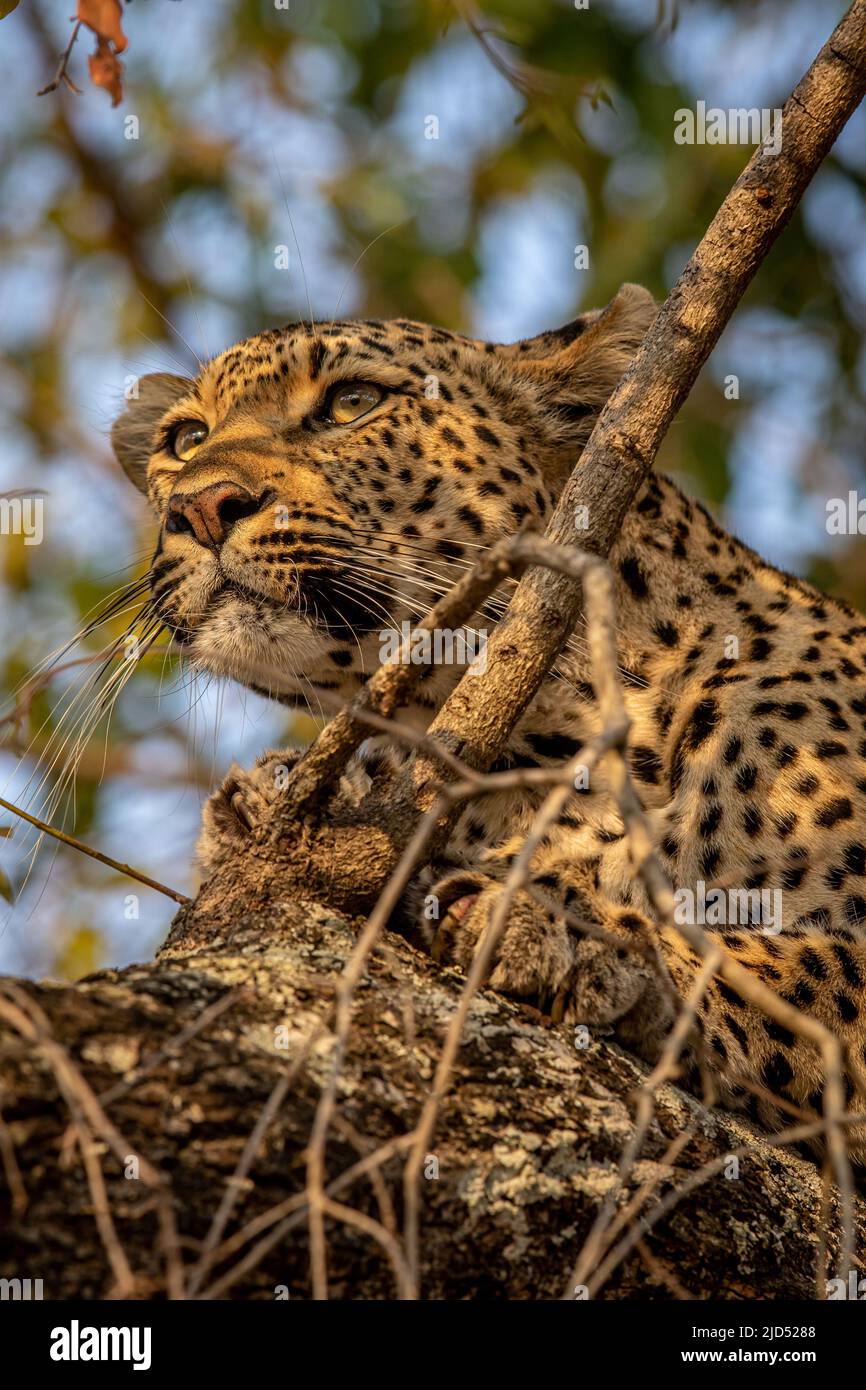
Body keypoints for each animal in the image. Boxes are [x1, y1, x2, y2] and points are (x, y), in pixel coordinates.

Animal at [111, 283, 866, 1159]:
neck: (548, 745)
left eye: (352, 402)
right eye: (185, 439)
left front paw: (567, 930)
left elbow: (786, 970)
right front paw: (273, 800)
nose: (201, 507)